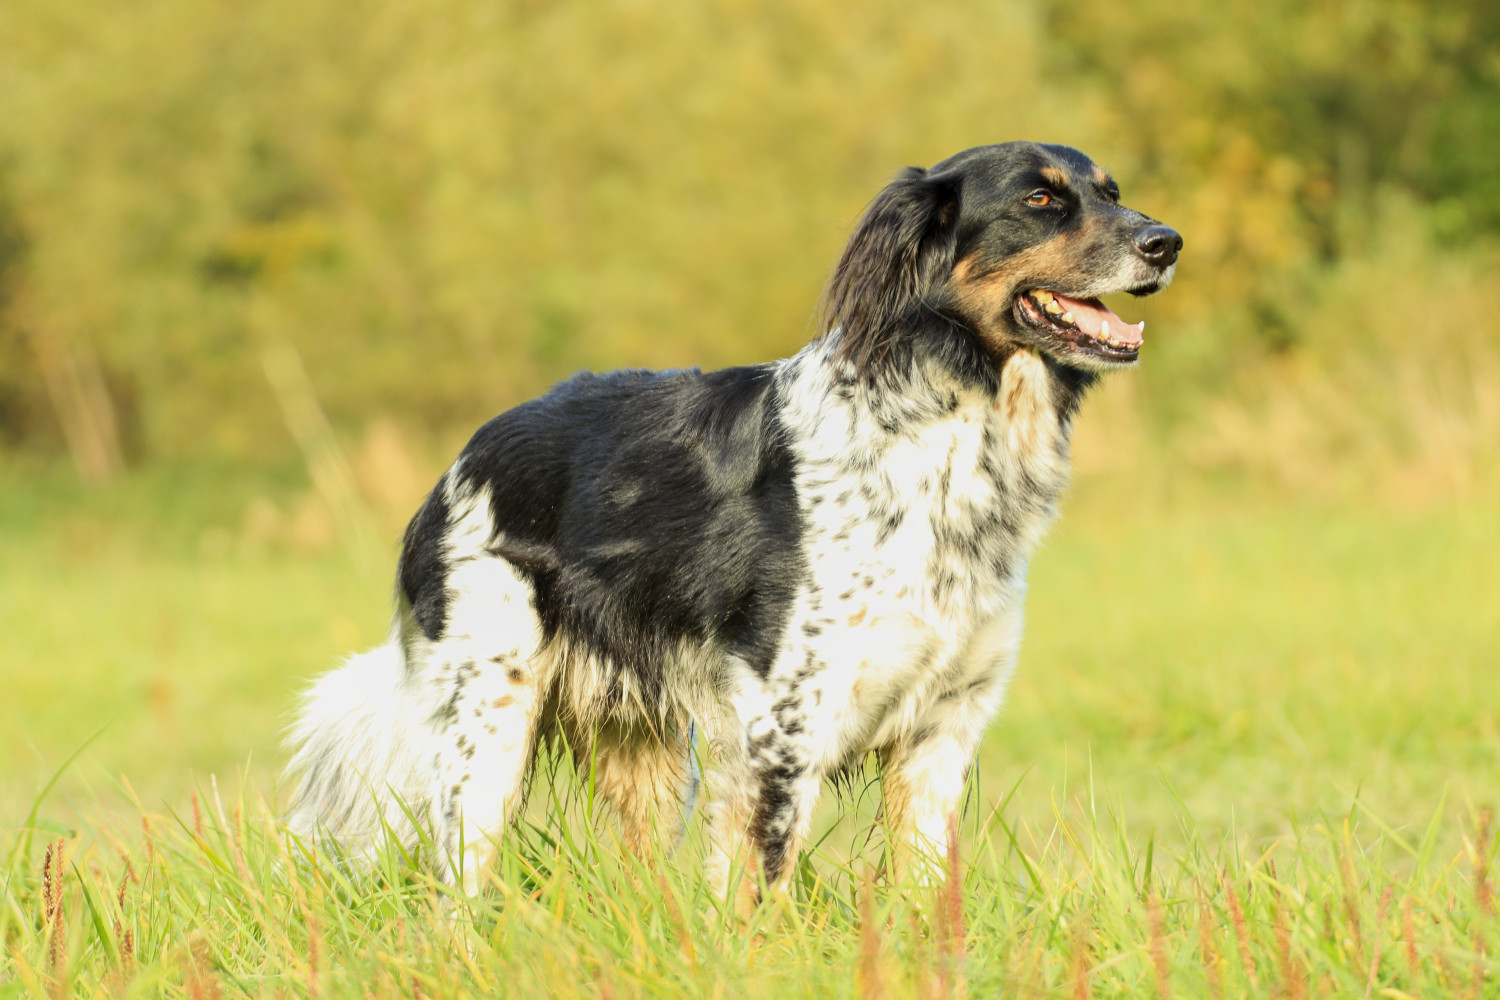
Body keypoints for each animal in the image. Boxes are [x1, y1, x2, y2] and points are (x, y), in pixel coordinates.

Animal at [283, 140, 1182, 905]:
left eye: (1112, 193)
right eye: (1041, 199)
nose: (1167, 242)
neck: (950, 435)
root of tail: (458, 465)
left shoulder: (942, 731)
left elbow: (923, 890)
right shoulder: (782, 726)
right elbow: (763, 885)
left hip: (646, 757)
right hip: (488, 725)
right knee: (456, 895)